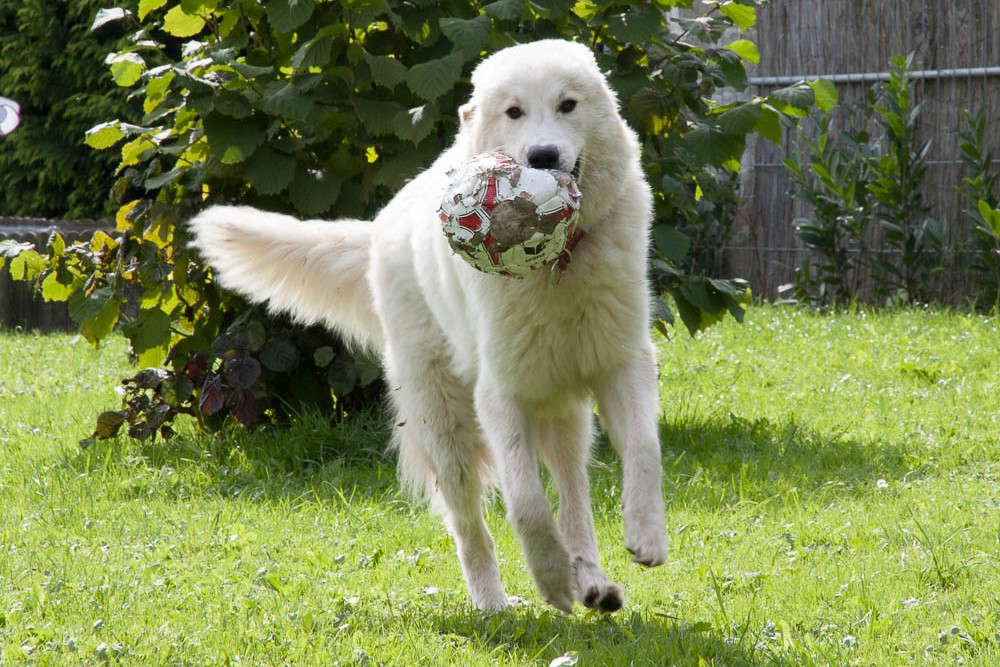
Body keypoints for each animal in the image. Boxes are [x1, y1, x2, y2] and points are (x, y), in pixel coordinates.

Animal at [191, 37, 668, 616]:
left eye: (568, 105)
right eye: (514, 112)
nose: (543, 157)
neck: (559, 263)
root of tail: (380, 224)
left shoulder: (623, 364)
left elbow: (643, 452)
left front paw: (646, 536)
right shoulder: (500, 395)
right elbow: (526, 501)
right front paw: (552, 579)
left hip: (561, 411)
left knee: (573, 493)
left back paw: (593, 583)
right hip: (447, 426)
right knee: (470, 524)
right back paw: (494, 604)